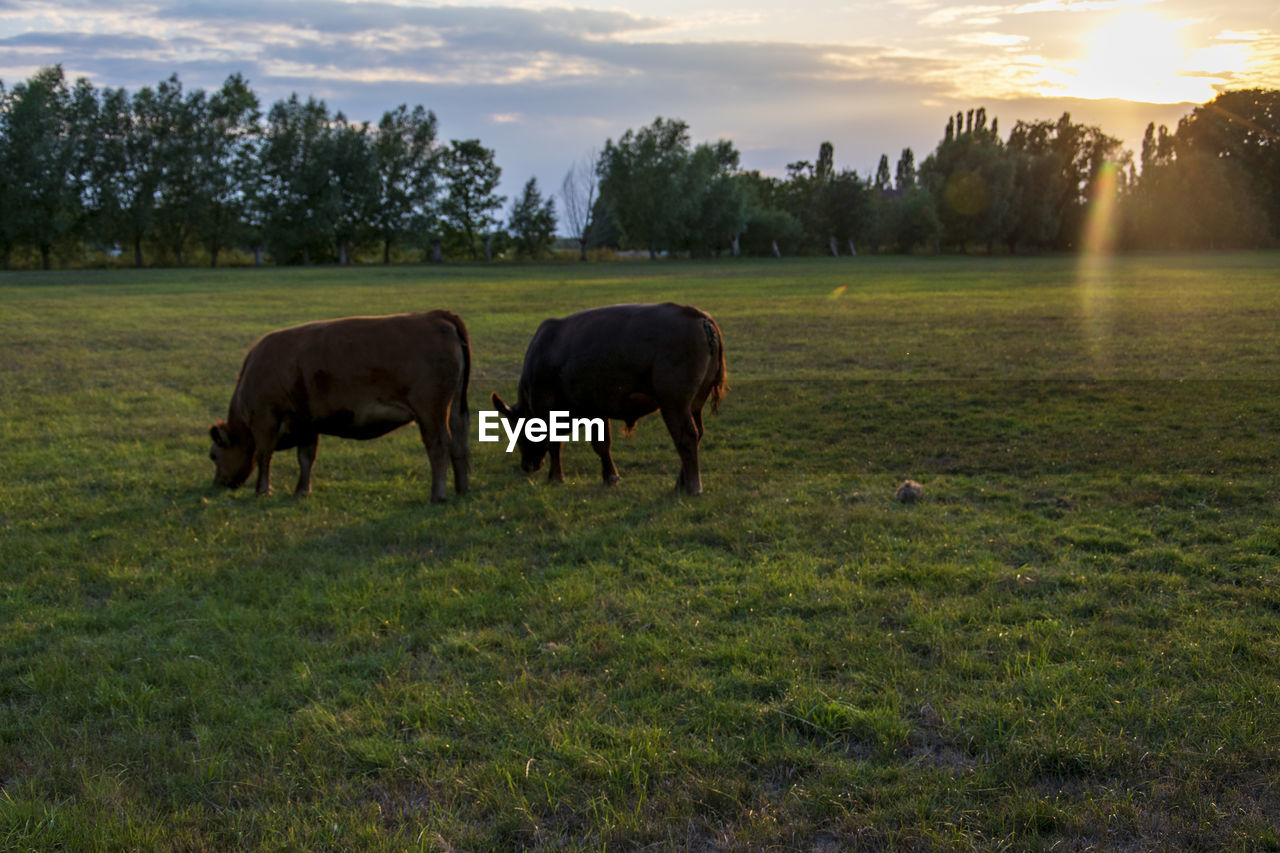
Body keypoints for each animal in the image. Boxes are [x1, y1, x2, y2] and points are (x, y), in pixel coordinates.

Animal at [209, 311, 471, 499]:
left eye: (213, 455)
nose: (218, 483)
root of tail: (433, 315)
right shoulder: (307, 422)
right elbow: (306, 457)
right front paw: (301, 491)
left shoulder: (266, 419)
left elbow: (264, 456)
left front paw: (262, 490)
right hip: (455, 408)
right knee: (459, 442)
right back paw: (462, 489)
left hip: (430, 411)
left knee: (438, 444)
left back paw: (437, 496)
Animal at [491, 302, 727, 494]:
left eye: (517, 431)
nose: (526, 466)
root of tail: (700, 318)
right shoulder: (597, 411)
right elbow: (602, 444)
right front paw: (610, 476)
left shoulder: (548, 412)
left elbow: (556, 445)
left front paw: (555, 477)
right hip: (693, 405)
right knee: (697, 434)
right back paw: (681, 484)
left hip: (674, 404)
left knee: (686, 437)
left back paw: (693, 487)